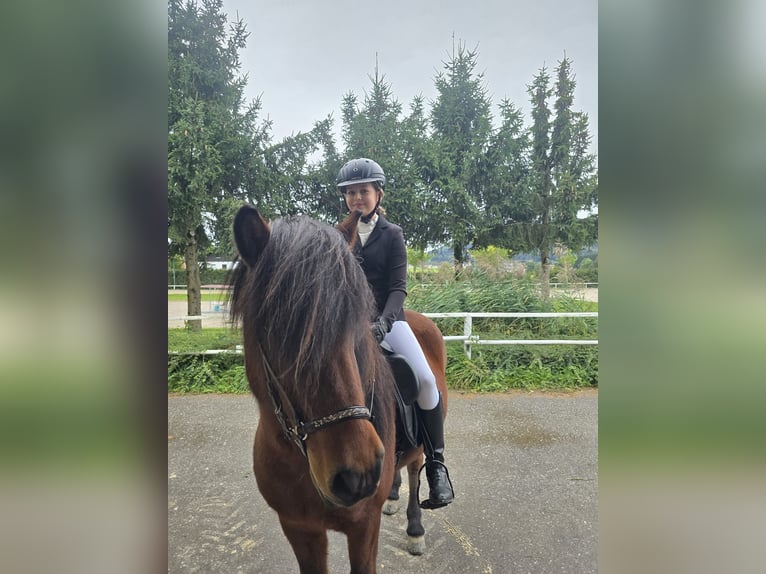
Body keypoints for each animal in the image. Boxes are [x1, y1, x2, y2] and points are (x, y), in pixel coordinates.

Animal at [228, 205, 449, 573]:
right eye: (274, 331)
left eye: (354, 322)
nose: (358, 475)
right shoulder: (299, 528)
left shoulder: (364, 527)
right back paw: (392, 494)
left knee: (417, 466)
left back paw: (416, 527)